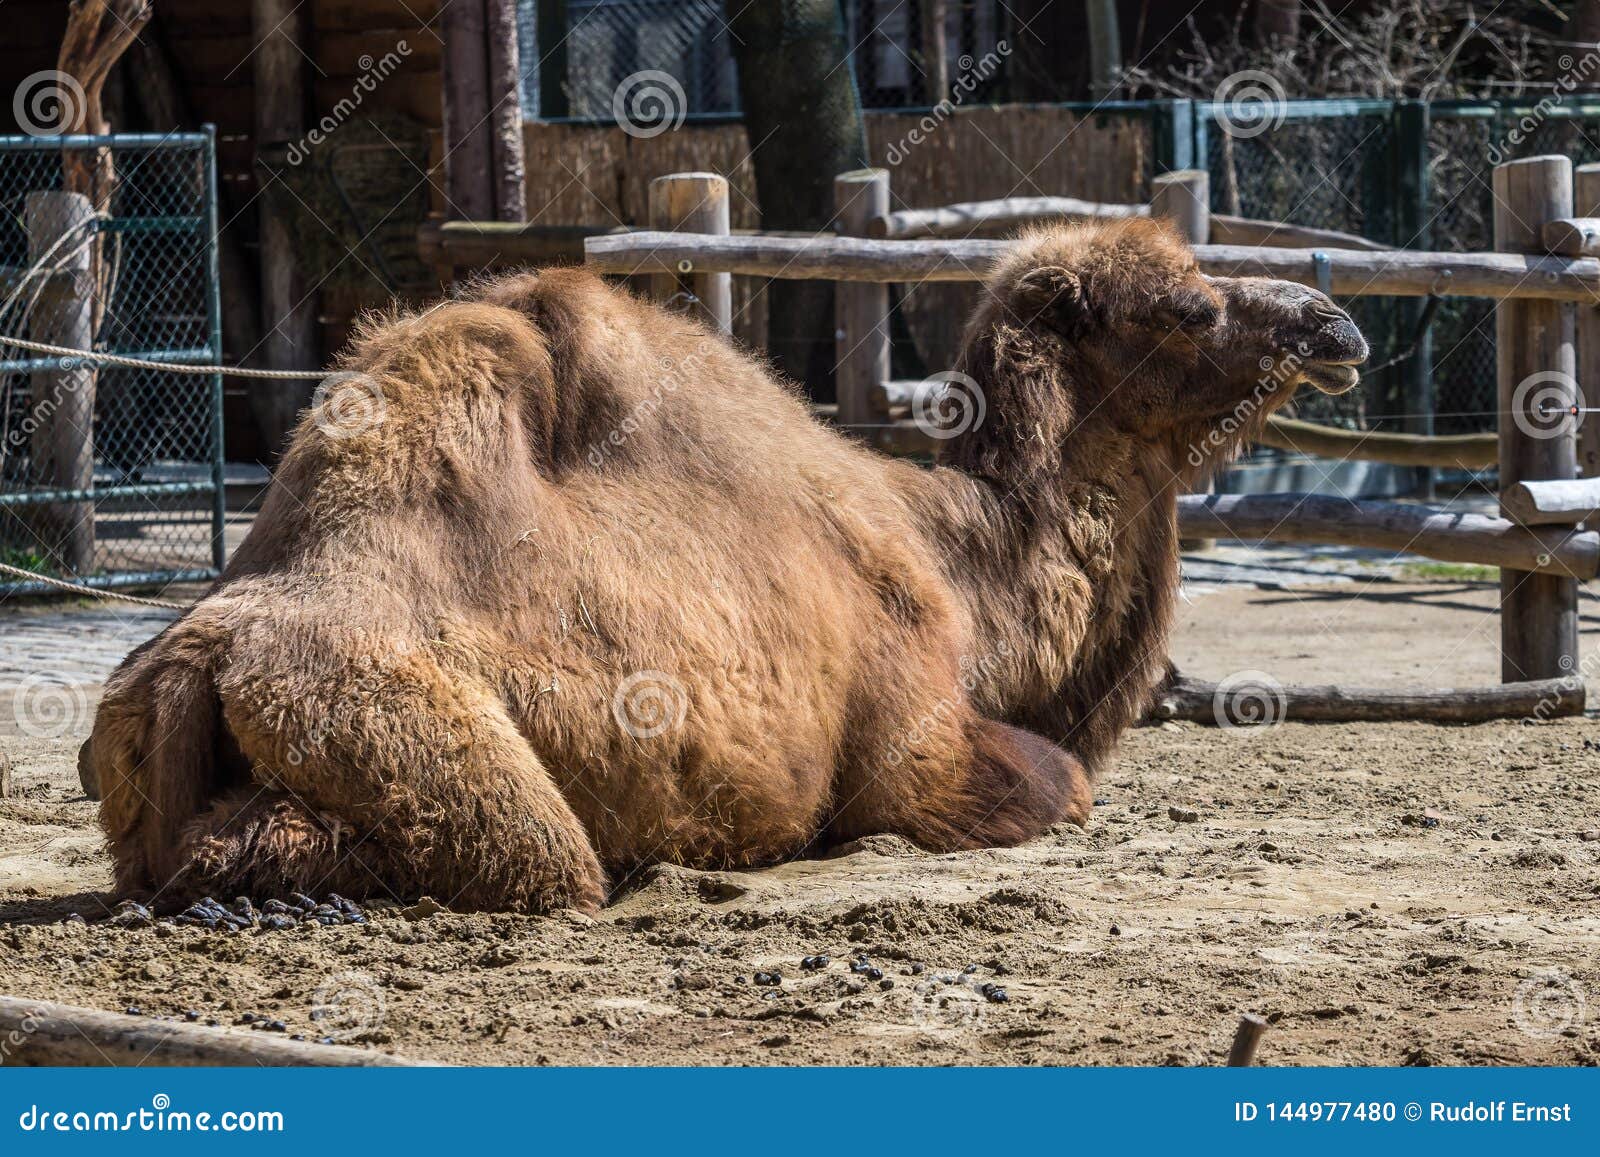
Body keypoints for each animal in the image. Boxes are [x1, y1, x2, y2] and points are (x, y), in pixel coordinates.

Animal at [84, 217, 1363, 915]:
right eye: (1185, 307)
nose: (1331, 322)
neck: (963, 568)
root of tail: (201, 659)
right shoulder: (915, 751)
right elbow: (1059, 783)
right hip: (438, 752)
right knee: (515, 858)